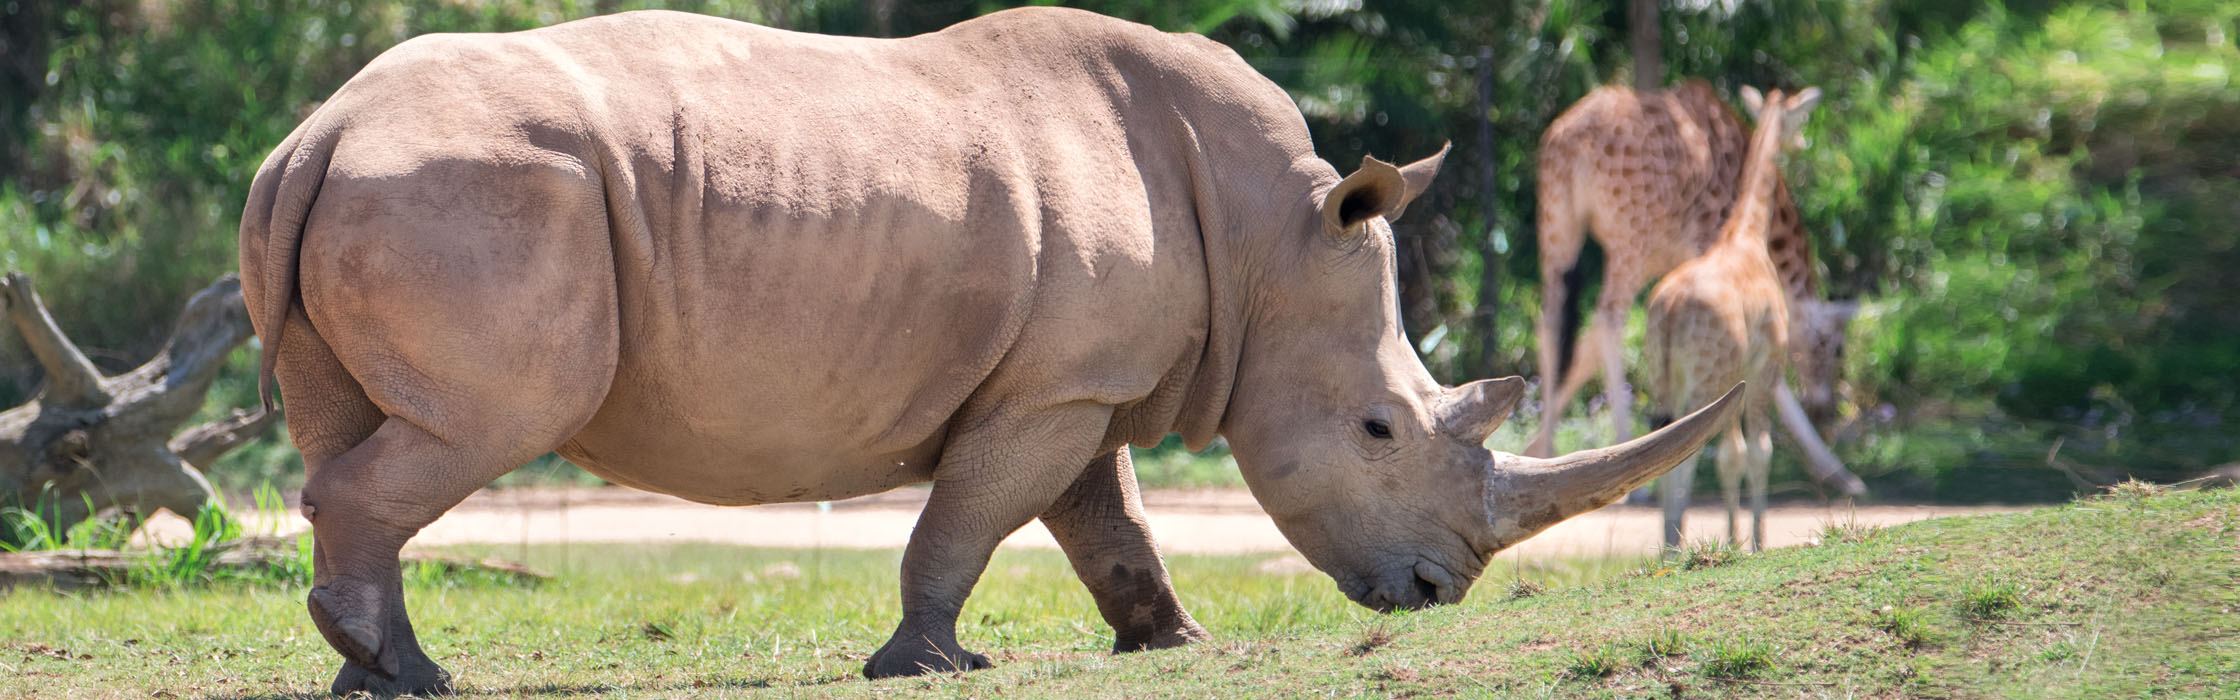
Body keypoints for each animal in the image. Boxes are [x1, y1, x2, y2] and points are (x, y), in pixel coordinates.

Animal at [1523, 80, 1854, 464]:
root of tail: (1567, 141)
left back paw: (1553, 448)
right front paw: (1832, 467)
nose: (1826, 409)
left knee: (1552, 324)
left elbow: (1584, 349)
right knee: (1609, 319)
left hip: (1558, 227)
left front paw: (1535, 449)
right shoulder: (1708, 248)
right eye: (1835, 348)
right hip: (1628, 241)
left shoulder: (1673, 263)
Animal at [1639, 84, 1845, 549]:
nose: (1799, 142)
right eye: (1799, 117)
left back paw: (1668, 546)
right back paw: (1674, 549)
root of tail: (1670, 310)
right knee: (1684, 456)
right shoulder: (1764, 366)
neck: (1747, 237)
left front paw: (1733, 540)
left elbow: (1730, 456)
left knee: (1661, 449)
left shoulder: (1734, 379)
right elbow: (1757, 452)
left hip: (1664, 377)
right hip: (1707, 377)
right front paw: (1754, 542)